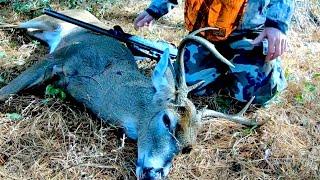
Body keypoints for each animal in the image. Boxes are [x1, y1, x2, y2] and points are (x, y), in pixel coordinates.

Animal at [0, 9, 262, 179]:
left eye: (188, 149)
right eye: (167, 120)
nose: (154, 174)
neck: (105, 75)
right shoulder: (60, 55)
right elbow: (5, 91)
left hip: (40, 31)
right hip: (44, 20)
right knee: (13, 24)